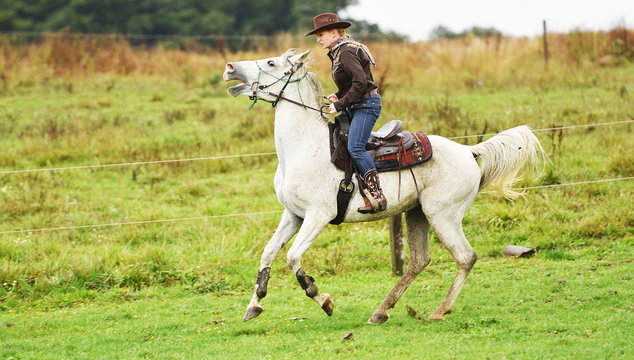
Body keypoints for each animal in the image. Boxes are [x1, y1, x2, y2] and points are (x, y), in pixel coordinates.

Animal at [223, 48, 544, 324]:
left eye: (271, 63)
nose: (230, 68)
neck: (305, 147)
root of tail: (469, 151)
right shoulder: (293, 215)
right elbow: (268, 253)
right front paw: (254, 305)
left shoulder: (318, 216)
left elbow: (292, 258)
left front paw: (323, 299)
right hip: (417, 213)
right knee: (419, 260)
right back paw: (381, 311)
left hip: (443, 216)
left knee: (466, 257)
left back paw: (439, 311)